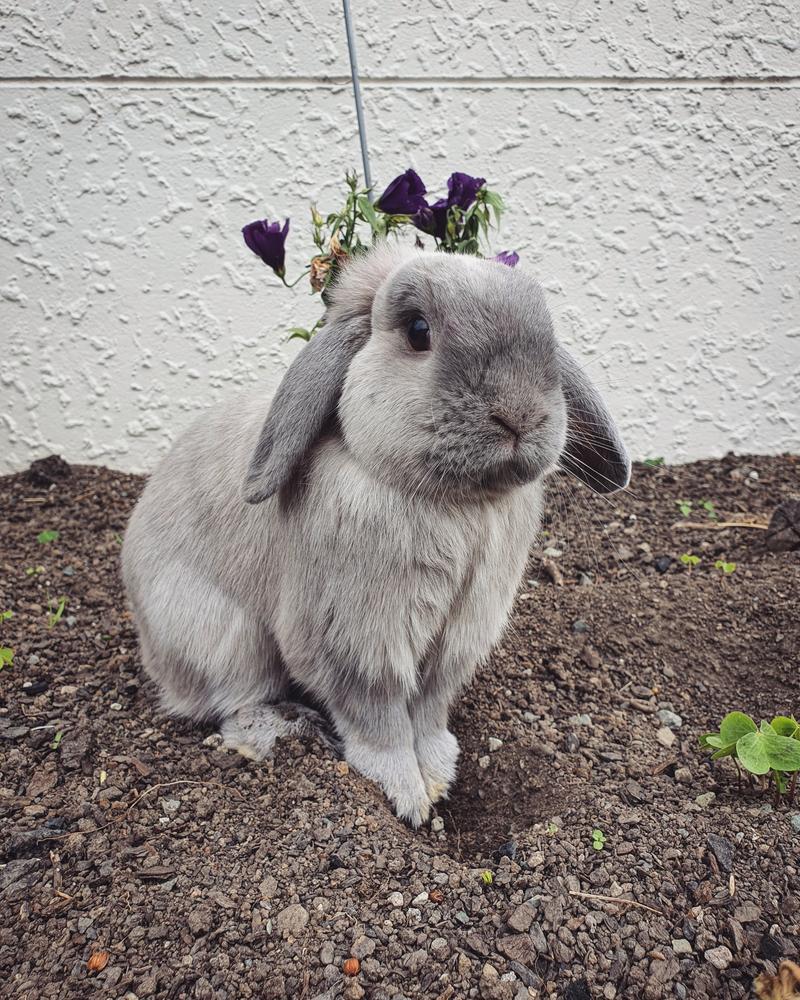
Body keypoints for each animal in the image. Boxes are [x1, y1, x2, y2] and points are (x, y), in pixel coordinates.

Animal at [121, 242, 630, 827]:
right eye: (417, 331)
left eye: (546, 331)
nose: (520, 414)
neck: (457, 505)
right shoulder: (355, 643)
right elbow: (378, 718)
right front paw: (407, 795)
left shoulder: (453, 642)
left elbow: (428, 710)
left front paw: (439, 772)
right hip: (225, 639)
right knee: (234, 704)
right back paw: (285, 728)